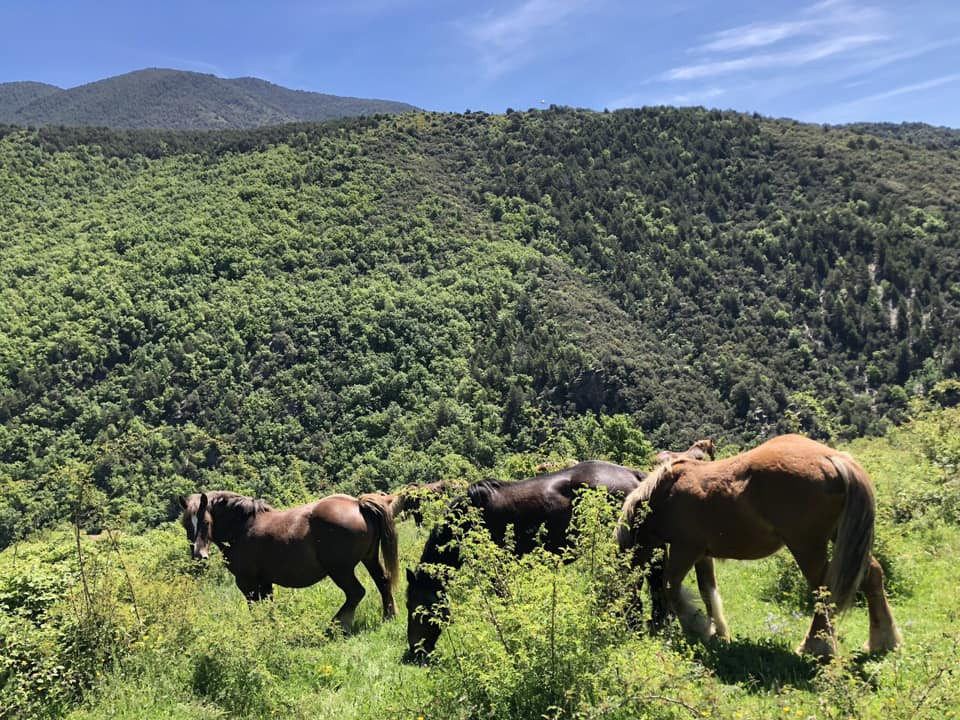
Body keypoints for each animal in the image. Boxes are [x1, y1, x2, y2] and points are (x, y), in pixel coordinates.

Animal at [178, 490, 400, 632]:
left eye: (206, 522)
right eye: (186, 525)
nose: (199, 556)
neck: (242, 528)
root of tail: (357, 504)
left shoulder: (247, 582)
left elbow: (255, 607)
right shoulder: (264, 581)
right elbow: (268, 606)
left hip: (340, 570)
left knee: (356, 593)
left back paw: (336, 626)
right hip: (369, 559)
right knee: (383, 582)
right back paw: (389, 616)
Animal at [620, 434, 904, 660]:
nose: (630, 626)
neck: (664, 495)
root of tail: (832, 458)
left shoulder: (685, 549)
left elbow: (671, 587)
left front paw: (698, 627)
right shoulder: (701, 555)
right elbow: (707, 590)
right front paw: (719, 632)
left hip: (807, 546)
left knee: (824, 590)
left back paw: (816, 646)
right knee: (872, 576)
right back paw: (883, 641)